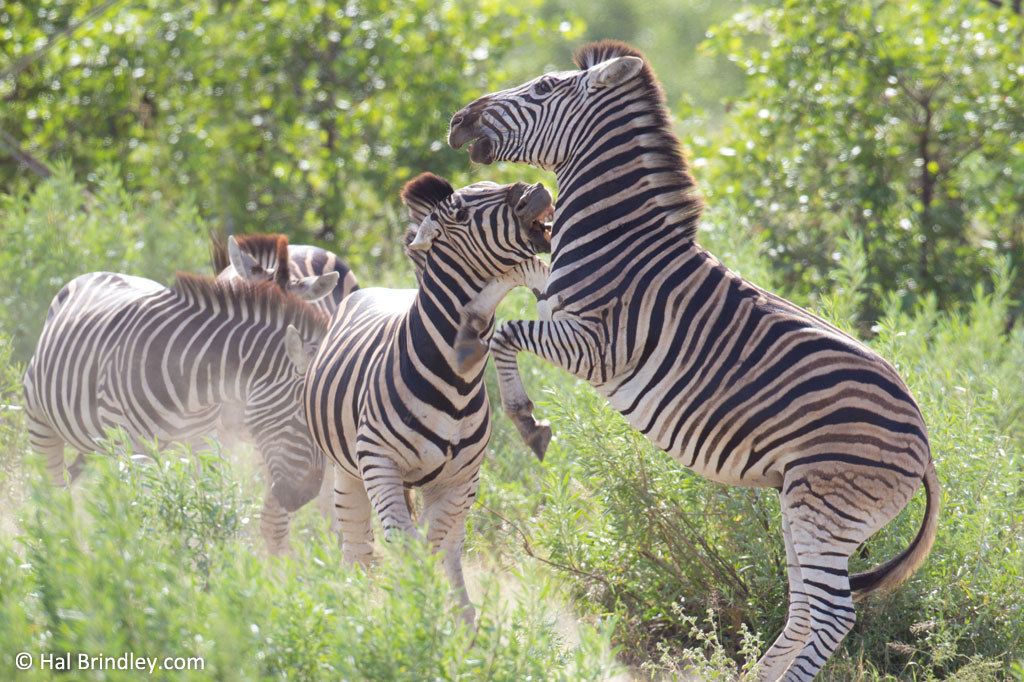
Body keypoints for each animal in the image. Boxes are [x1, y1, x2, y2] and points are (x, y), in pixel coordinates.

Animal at [23, 270, 327, 552]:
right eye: (301, 417)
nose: (307, 497)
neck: (192, 381)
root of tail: (94, 273)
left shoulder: (203, 442)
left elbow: (207, 499)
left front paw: (208, 557)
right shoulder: (132, 447)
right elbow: (143, 508)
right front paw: (146, 560)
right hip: (41, 424)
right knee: (51, 493)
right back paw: (54, 549)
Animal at [296, 171, 552, 622]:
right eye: (463, 213)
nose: (536, 191)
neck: (456, 381)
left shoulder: (462, 477)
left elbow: (432, 548)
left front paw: (432, 617)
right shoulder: (379, 463)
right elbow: (407, 546)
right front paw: (409, 617)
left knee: (448, 547)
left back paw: (462, 619)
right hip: (347, 472)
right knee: (358, 547)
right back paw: (352, 614)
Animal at [444, 39, 937, 675]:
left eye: (545, 87)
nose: (458, 119)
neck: (619, 240)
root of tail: (924, 439)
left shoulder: (596, 346)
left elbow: (505, 335)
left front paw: (527, 420)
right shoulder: (556, 306)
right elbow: (512, 302)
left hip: (826, 507)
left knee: (831, 615)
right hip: (805, 506)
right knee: (805, 606)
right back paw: (761, 676)